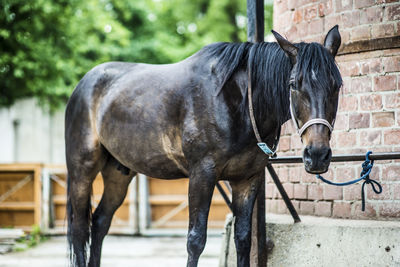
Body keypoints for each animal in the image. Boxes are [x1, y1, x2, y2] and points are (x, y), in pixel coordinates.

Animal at [65, 25, 340, 267]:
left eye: (337, 85)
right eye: (293, 84)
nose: (317, 155)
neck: (236, 101)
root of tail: (84, 85)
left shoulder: (247, 179)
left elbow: (243, 239)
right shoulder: (202, 174)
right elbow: (195, 240)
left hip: (118, 173)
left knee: (100, 222)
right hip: (81, 171)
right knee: (79, 230)